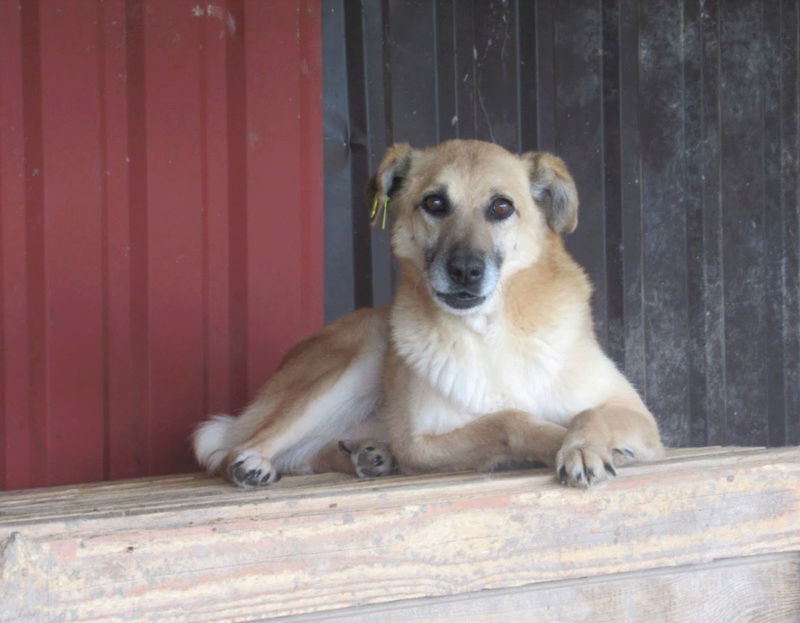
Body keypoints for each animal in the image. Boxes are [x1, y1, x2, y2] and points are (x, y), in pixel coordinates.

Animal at [192, 140, 664, 488]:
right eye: (435, 203)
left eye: (502, 207)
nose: (466, 270)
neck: (491, 333)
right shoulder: (420, 444)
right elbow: (509, 421)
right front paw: (562, 442)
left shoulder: (637, 412)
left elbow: (590, 413)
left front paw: (585, 444)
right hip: (361, 352)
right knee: (234, 448)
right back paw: (253, 463)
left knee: (305, 455)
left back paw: (367, 456)